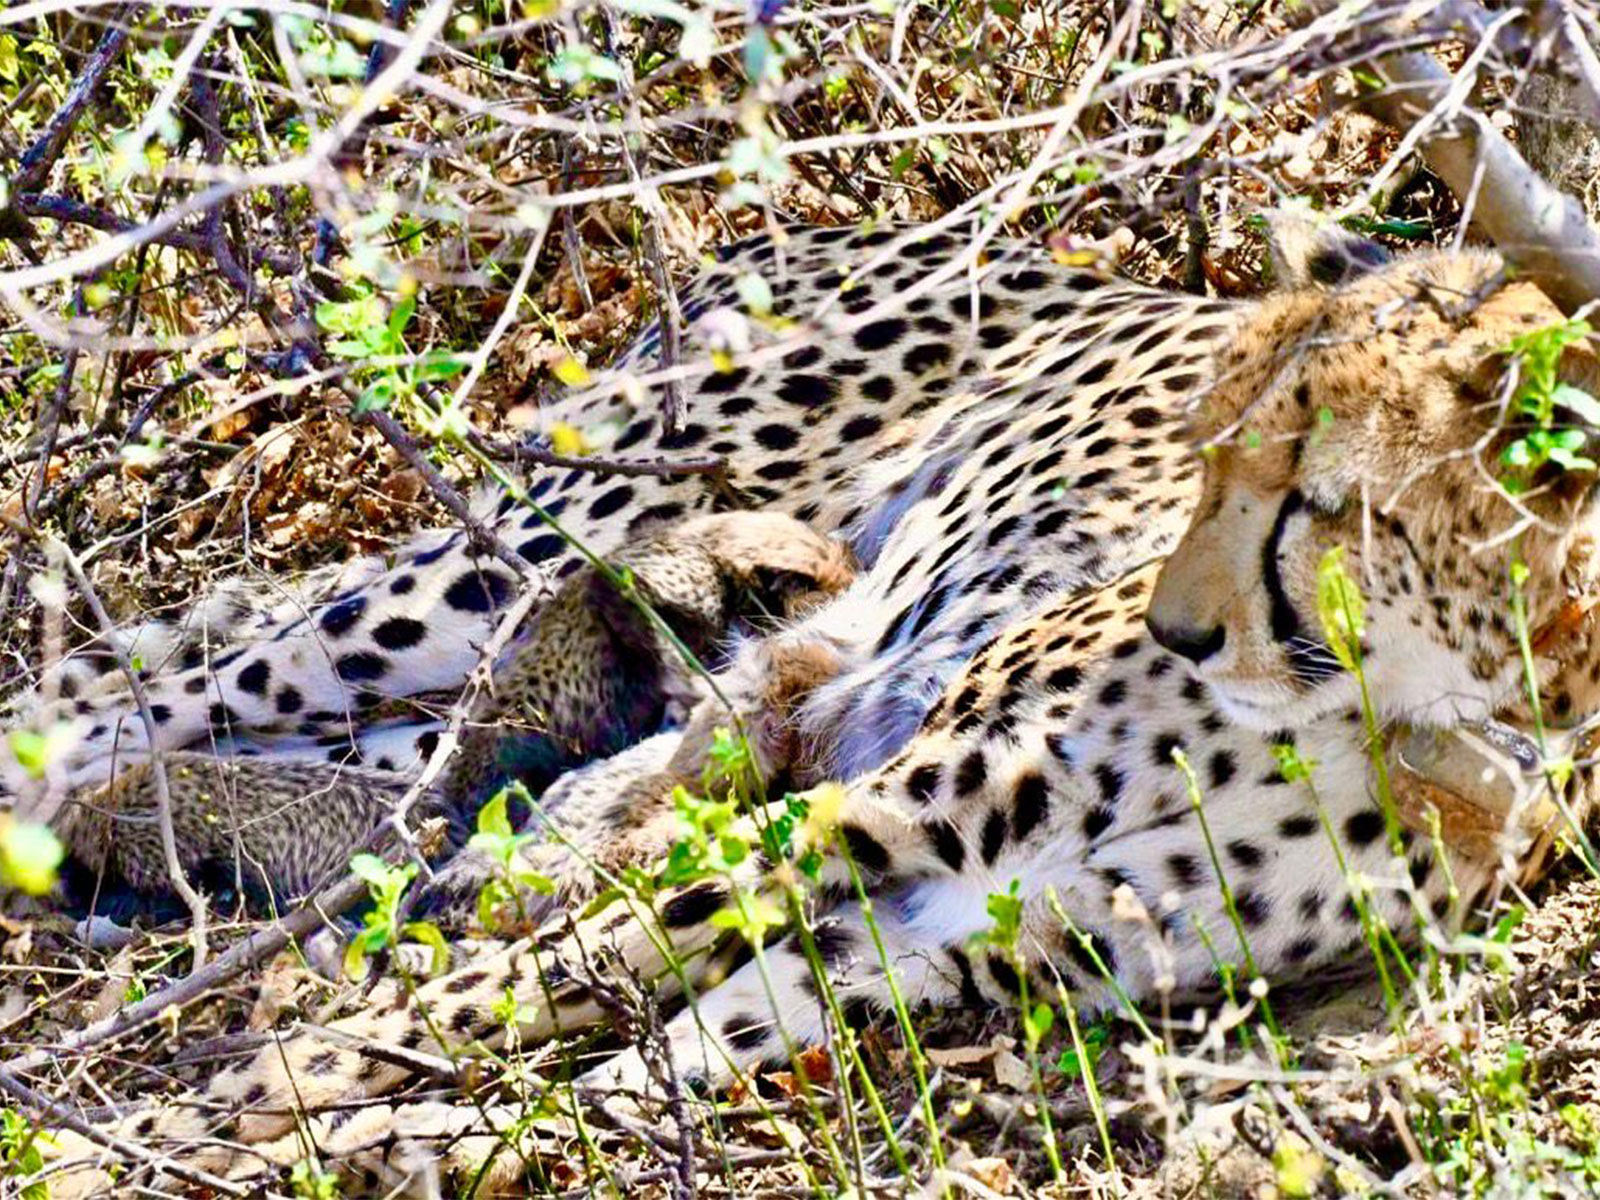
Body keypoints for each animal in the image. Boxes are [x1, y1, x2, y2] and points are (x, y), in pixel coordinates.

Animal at [20, 219, 1600, 1197]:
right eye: (1203, 458)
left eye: (1313, 498)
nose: (1179, 625)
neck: (1401, 707)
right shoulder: (872, 814)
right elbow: (506, 994)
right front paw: (182, 1126)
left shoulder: (971, 935)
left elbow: (639, 1052)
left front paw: (418, 1143)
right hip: (529, 548)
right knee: (144, 689)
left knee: (394, 766)